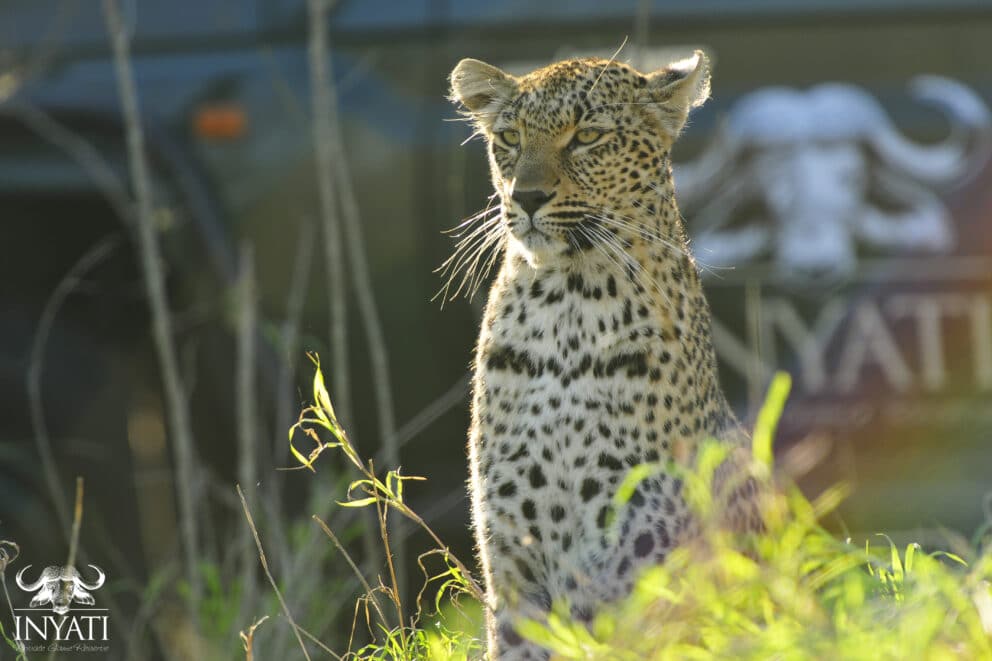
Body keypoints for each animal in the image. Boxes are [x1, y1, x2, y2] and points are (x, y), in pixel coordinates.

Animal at [447, 50, 760, 660]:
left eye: (587, 136)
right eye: (510, 138)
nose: (525, 197)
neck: (567, 308)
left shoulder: (642, 552)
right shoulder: (512, 565)